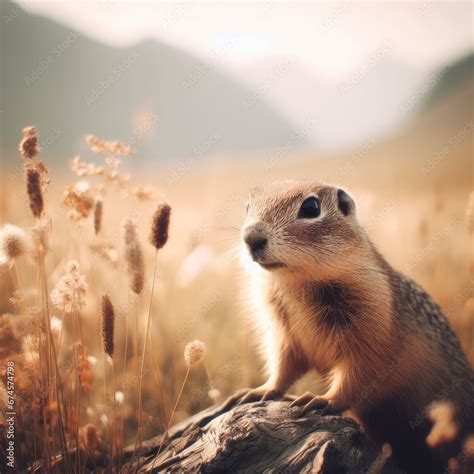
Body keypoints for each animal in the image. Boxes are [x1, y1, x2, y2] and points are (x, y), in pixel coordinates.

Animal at [232, 180, 474, 472]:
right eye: (247, 205)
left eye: (311, 208)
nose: (251, 238)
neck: (296, 282)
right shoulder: (282, 331)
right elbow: (284, 365)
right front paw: (259, 390)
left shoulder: (373, 323)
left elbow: (360, 372)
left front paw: (321, 400)